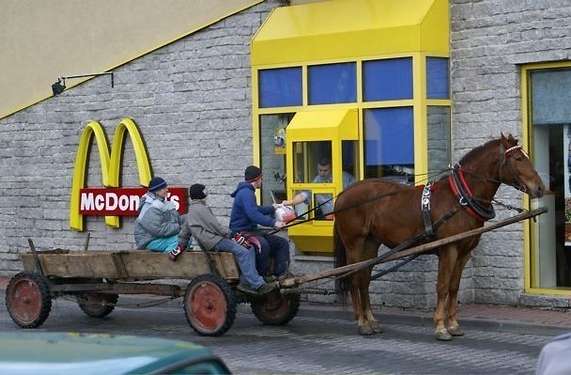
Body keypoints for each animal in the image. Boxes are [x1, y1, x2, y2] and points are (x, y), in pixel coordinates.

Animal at [336, 134, 544, 340]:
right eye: (518, 158)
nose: (540, 188)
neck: (460, 199)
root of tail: (343, 193)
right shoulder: (448, 249)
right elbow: (442, 286)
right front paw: (441, 327)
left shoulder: (463, 252)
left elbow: (453, 287)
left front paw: (453, 324)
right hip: (354, 243)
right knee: (354, 278)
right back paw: (362, 323)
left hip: (370, 243)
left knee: (364, 279)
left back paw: (371, 320)